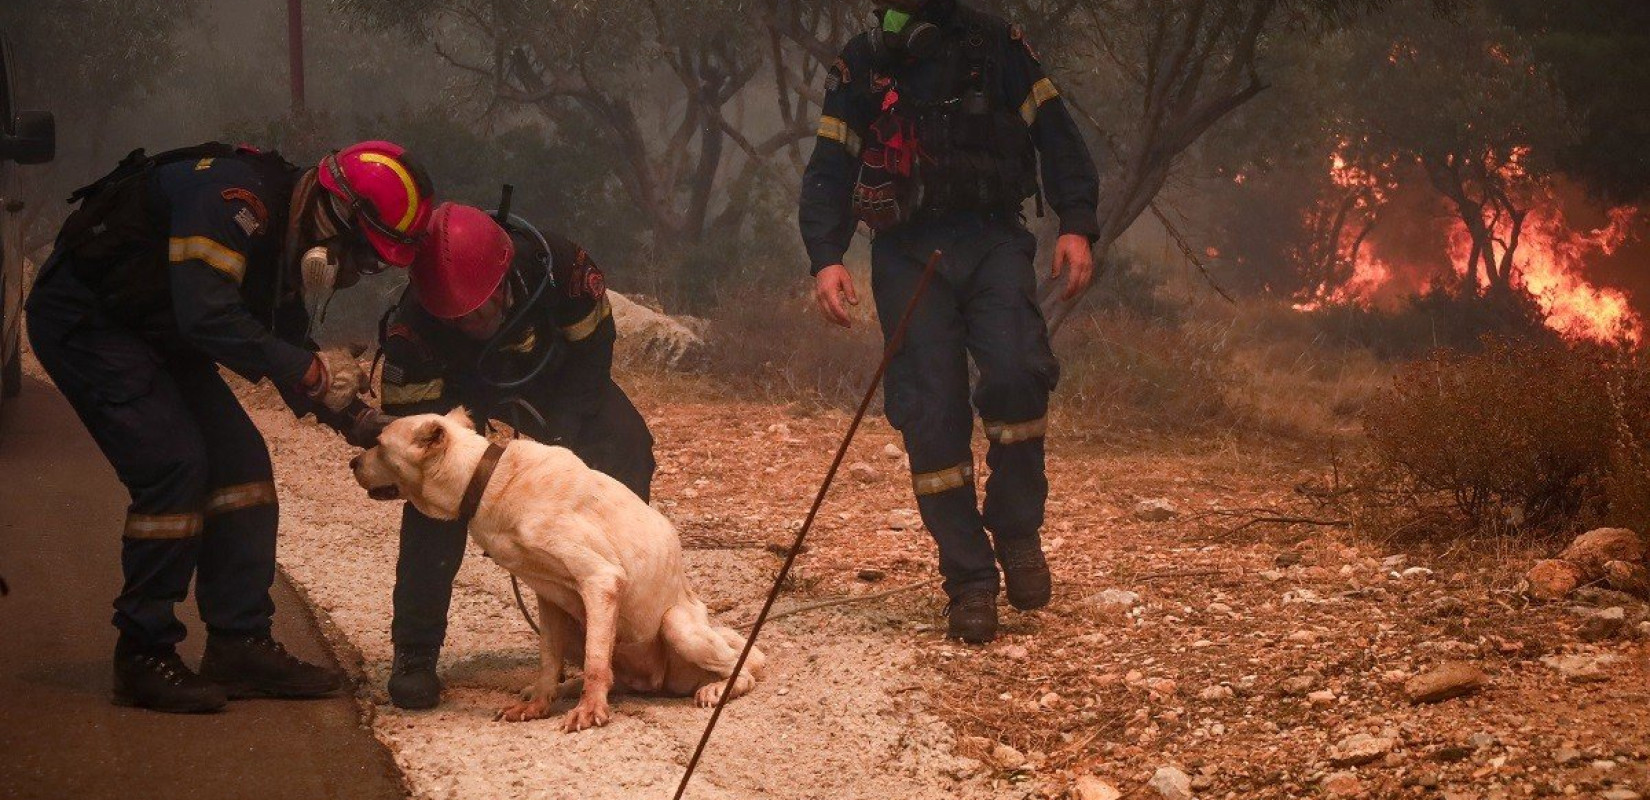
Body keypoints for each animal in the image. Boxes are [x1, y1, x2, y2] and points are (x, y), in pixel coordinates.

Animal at [351, 409, 762, 725]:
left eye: (381, 445)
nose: (352, 462)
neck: (486, 479)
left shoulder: (601, 580)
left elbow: (595, 665)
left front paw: (590, 710)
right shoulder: (549, 599)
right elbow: (549, 662)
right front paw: (538, 703)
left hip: (677, 627)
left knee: (742, 670)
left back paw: (715, 687)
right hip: (579, 626)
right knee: (606, 673)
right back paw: (559, 689)